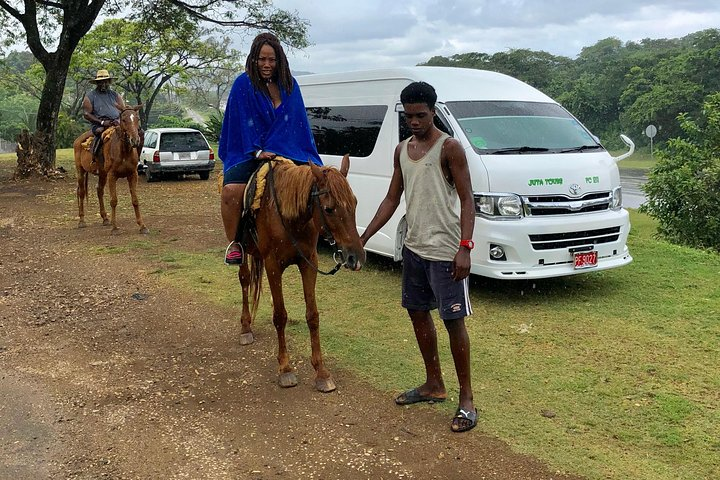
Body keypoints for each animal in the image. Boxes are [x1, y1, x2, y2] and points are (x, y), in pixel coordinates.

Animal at [73, 105, 148, 234]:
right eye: (123, 119)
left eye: (137, 119)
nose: (135, 140)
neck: (124, 151)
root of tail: (78, 140)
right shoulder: (112, 175)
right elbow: (114, 201)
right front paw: (115, 228)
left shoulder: (133, 174)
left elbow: (135, 200)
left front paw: (142, 226)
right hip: (80, 171)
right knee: (81, 192)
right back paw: (82, 221)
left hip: (103, 174)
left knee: (99, 190)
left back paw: (105, 218)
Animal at [240, 156, 366, 392]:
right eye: (328, 209)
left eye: (355, 203)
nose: (356, 257)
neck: (290, 219)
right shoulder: (273, 266)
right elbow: (280, 316)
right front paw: (285, 368)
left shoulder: (309, 263)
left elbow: (312, 315)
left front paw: (321, 371)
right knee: (244, 280)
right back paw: (245, 328)